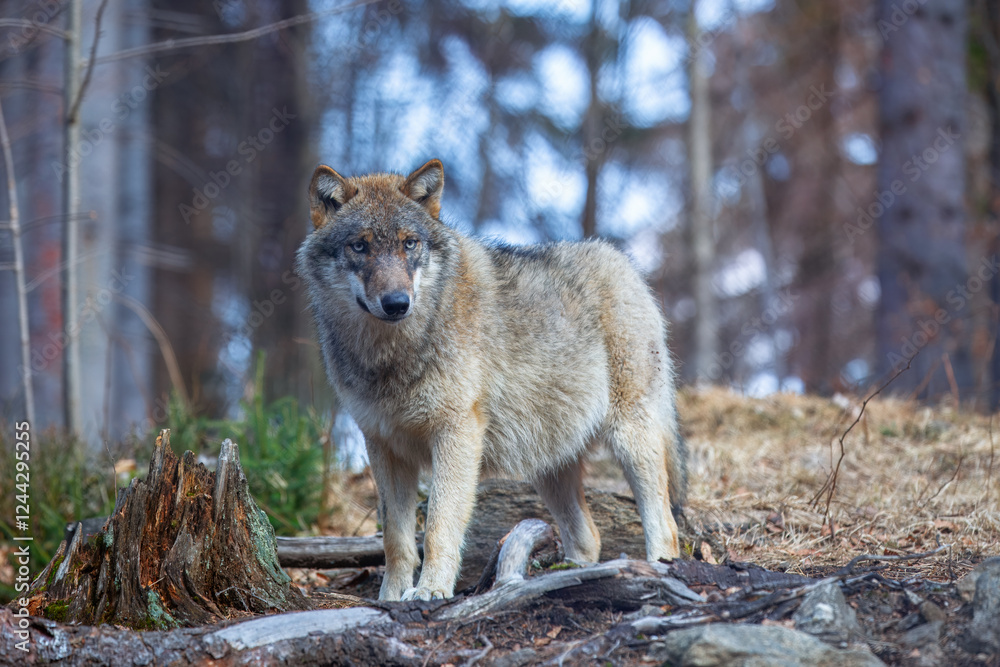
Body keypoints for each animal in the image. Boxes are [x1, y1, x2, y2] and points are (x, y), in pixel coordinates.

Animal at [297, 159, 687, 601]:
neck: (392, 354)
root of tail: (626, 264)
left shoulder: (456, 433)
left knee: (666, 524)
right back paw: (568, 576)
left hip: (629, 438)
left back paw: (657, 570)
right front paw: (391, 598)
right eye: (359, 246)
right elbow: (395, 539)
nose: (397, 303)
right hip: (549, 466)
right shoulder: (384, 446)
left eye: (409, 244)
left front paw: (430, 591)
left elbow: (438, 526)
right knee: (589, 536)